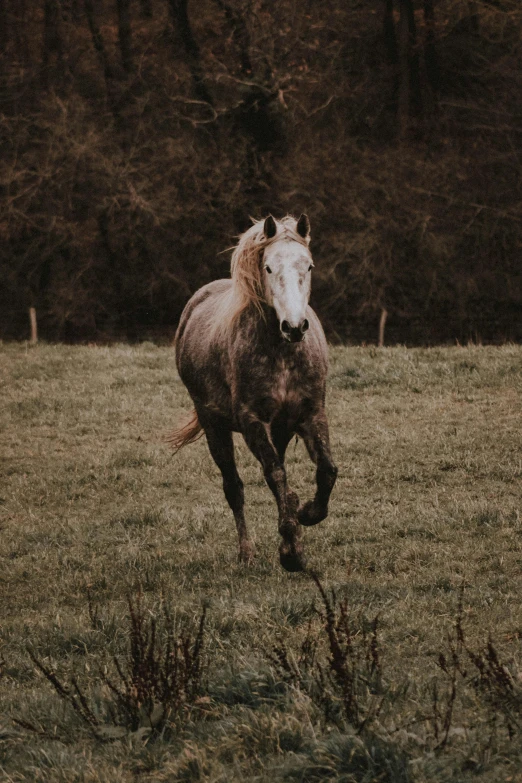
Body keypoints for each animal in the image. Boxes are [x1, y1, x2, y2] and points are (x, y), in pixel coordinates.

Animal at [171, 213, 338, 568]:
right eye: (269, 268)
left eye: (309, 266)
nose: (294, 327)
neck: (282, 353)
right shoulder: (251, 422)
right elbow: (274, 474)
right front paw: (291, 551)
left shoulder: (311, 414)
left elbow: (327, 470)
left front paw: (306, 513)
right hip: (214, 426)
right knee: (234, 487)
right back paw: (246, 552)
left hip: (281, 429)